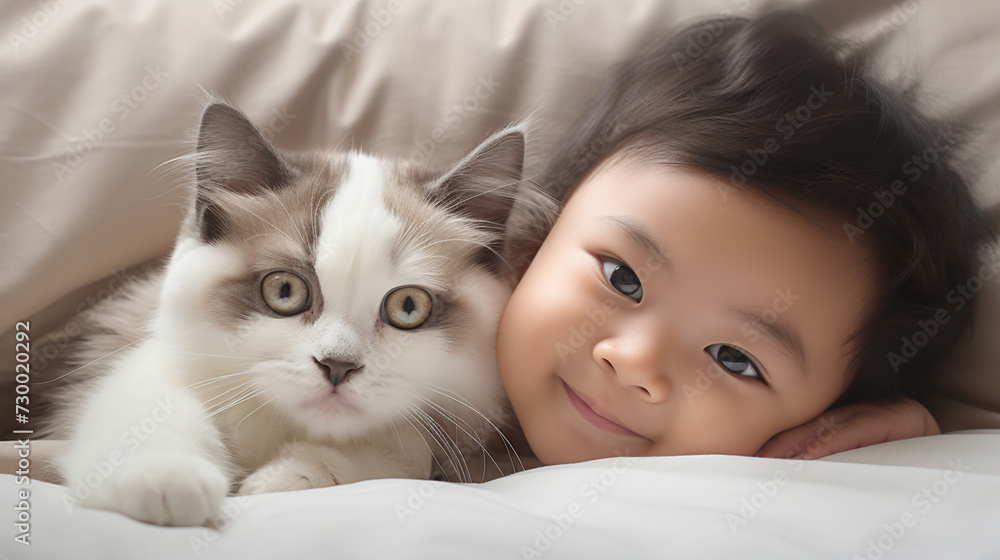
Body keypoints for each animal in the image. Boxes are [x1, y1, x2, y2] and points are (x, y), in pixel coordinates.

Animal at [37, 99, 548, 524]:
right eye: (285, 291)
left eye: (408, 306)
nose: (337, 366)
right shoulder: (149, 366)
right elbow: (147, 419)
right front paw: (167, 480)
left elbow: (397, 449)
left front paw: (281, 479)